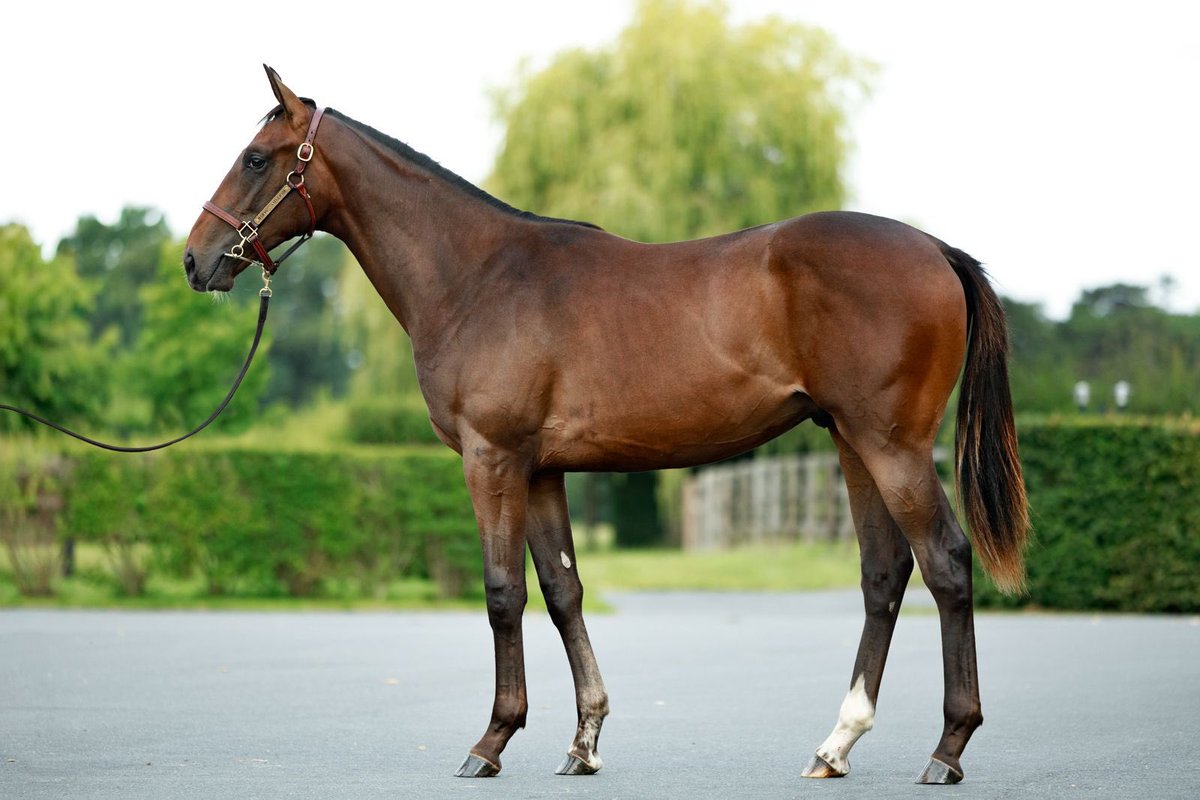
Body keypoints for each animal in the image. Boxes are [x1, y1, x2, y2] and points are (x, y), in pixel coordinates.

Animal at [184, 66, 1029, 785]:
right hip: (851, 441)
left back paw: (947, 748)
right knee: (884, 573)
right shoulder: (541, 469)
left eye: (255, 158)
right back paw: (836, 745)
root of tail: (935, 249)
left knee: (946, 562)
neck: (478, 276)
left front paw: (490, 742)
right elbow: (563, 590)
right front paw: (584, 740)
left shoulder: (491, 459)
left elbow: (502, 592)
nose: (196, 260)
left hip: (892, 446)